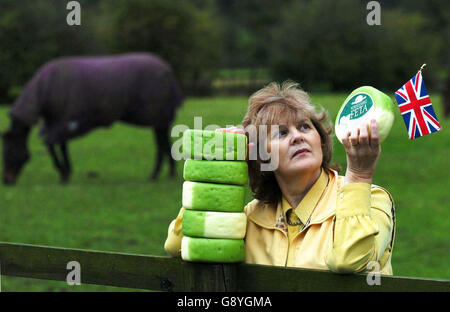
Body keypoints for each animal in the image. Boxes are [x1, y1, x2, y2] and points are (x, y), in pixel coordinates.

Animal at [1, 52, 184, 184]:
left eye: (8, 150)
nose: (6, 181)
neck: (43, 94)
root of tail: (168, 71)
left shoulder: (65, 121)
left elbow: (51, 144)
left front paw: (63, 174)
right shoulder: (59, 121)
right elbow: (61, 146)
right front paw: (66, 171)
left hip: (157, 117)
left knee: (160, 145)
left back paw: (154, 175)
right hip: (161, 120)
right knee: (165, 143)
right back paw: (169, 173)